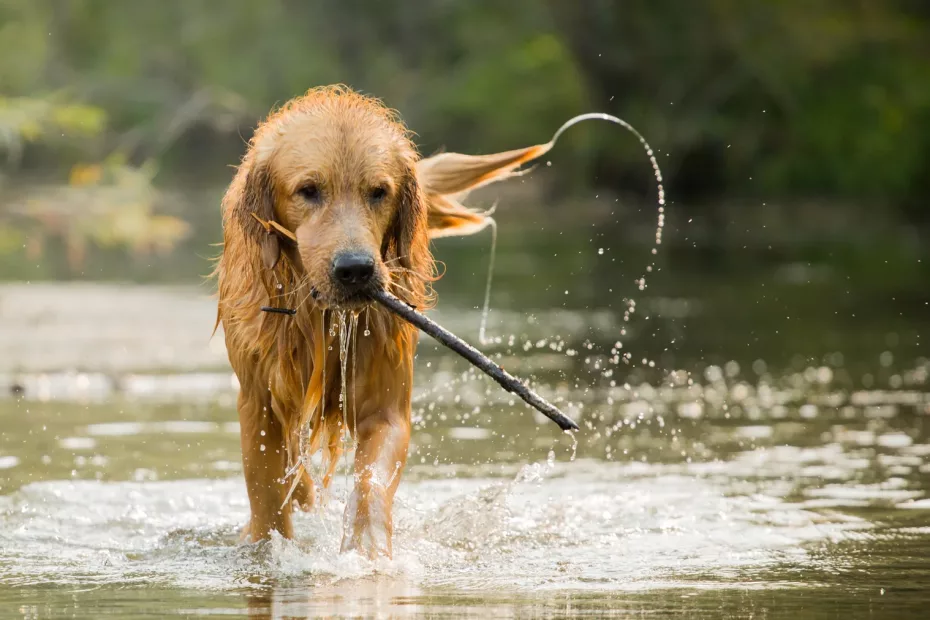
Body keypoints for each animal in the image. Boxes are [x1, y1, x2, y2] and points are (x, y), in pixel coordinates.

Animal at [214, 83, 544, 556]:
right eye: (308, 190)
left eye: (378, 192)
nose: (355, 270)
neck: (323, 320)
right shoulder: (258, 405)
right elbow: (268, 500)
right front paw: (268, 545)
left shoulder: (385, 405)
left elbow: (371, 481)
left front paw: (368, 551)